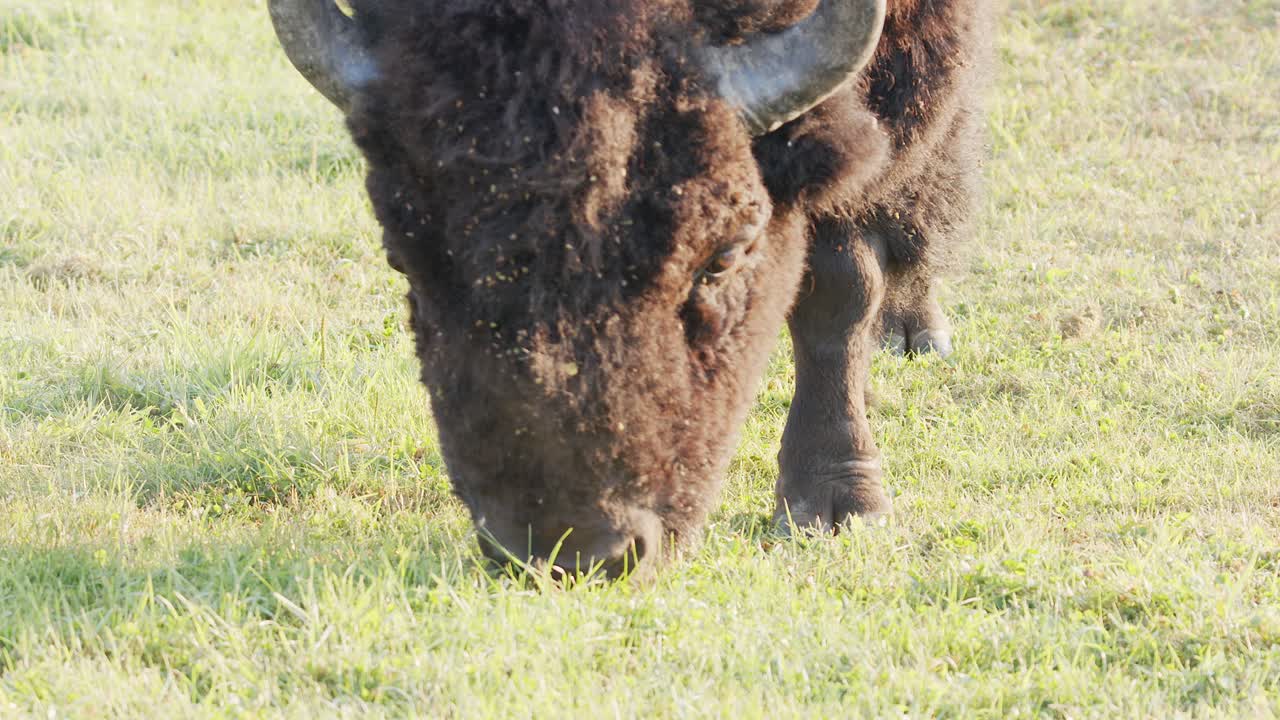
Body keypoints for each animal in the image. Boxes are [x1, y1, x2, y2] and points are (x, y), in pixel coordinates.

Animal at [269, 0, 991, 578]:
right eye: (402, 258)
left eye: (724, 256)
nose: (576, 553)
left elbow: (839, 286)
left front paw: (838, 504)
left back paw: (914, 327)